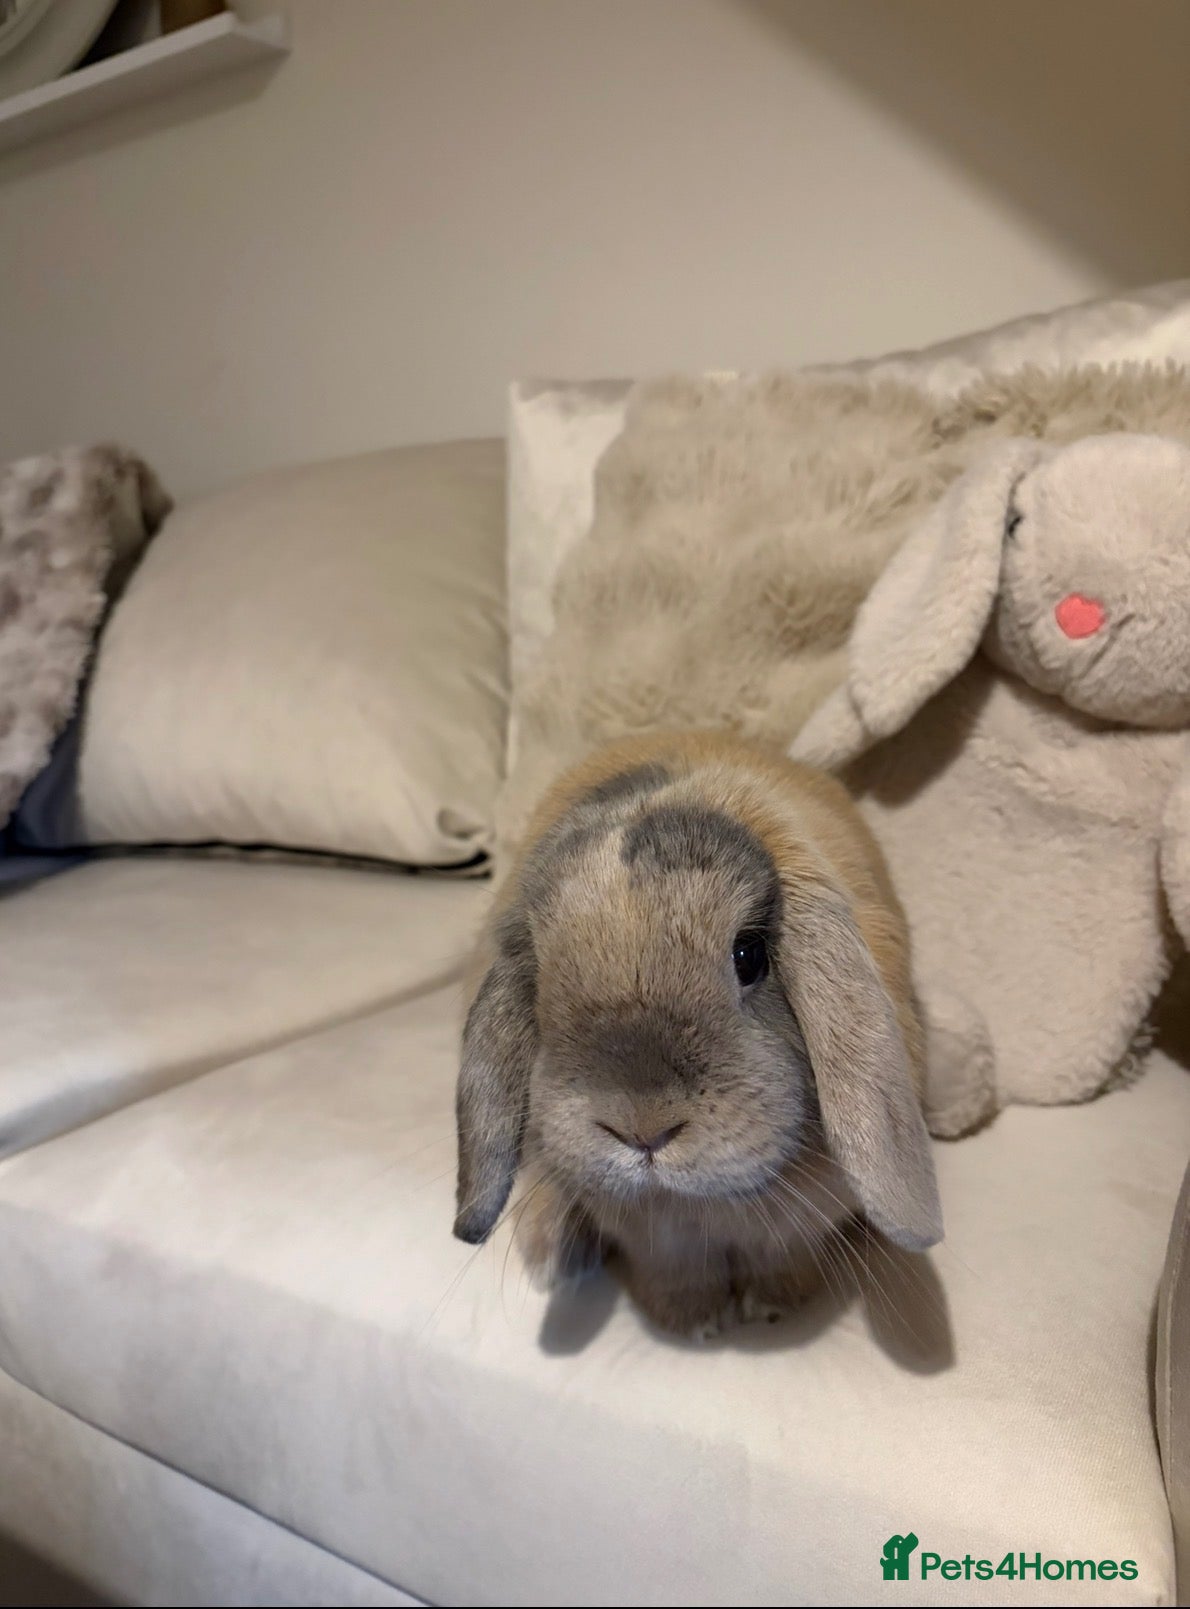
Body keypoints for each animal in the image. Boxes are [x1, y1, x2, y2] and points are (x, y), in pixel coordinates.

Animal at [453, 729, 942, 1339]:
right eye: (541, 980)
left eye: (749, 955)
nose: (642, 1130)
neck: (704, 1211)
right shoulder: (656, 1246)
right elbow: (677, 1276)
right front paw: (696, 1323)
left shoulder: (791, 1233)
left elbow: (778, 1260)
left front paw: (770, 1308)